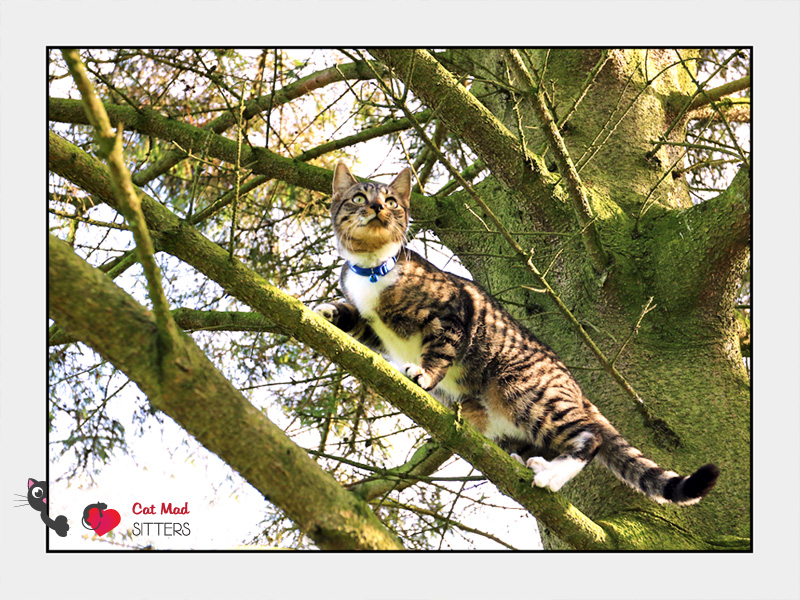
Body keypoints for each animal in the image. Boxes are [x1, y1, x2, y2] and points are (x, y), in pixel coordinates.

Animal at [318, 161, 720, 506]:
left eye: (391, 202)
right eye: (358, 197)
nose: (377, 208)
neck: (373, 267)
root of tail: (577, 389)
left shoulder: (451, 313)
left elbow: (439, 350)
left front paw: (423, 372)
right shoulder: (373, 326)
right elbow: (353, 317)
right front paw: (325, 311)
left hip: (526, 390)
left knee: (591, 436)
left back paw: (552, 475)